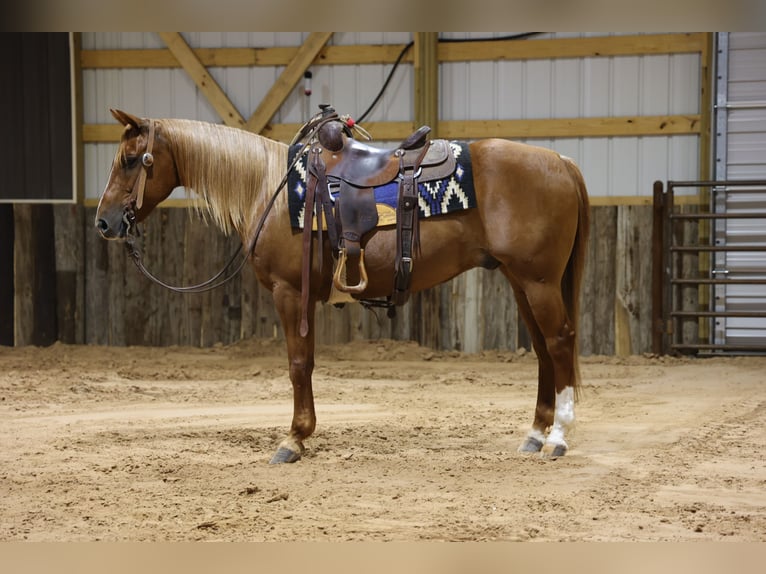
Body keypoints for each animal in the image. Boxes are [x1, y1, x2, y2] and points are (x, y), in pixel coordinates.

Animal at [95, 108, 590, 464]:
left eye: (130, 160)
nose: (104, 223)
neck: (269, 188)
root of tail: (562, 162)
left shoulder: (289, 292)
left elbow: (299, 364)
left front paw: (294, 438)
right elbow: (306, 363)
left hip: (539, 281)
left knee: (561, 342)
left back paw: (559, 437)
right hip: (520, 281)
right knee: (543, 350)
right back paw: (535, 434)